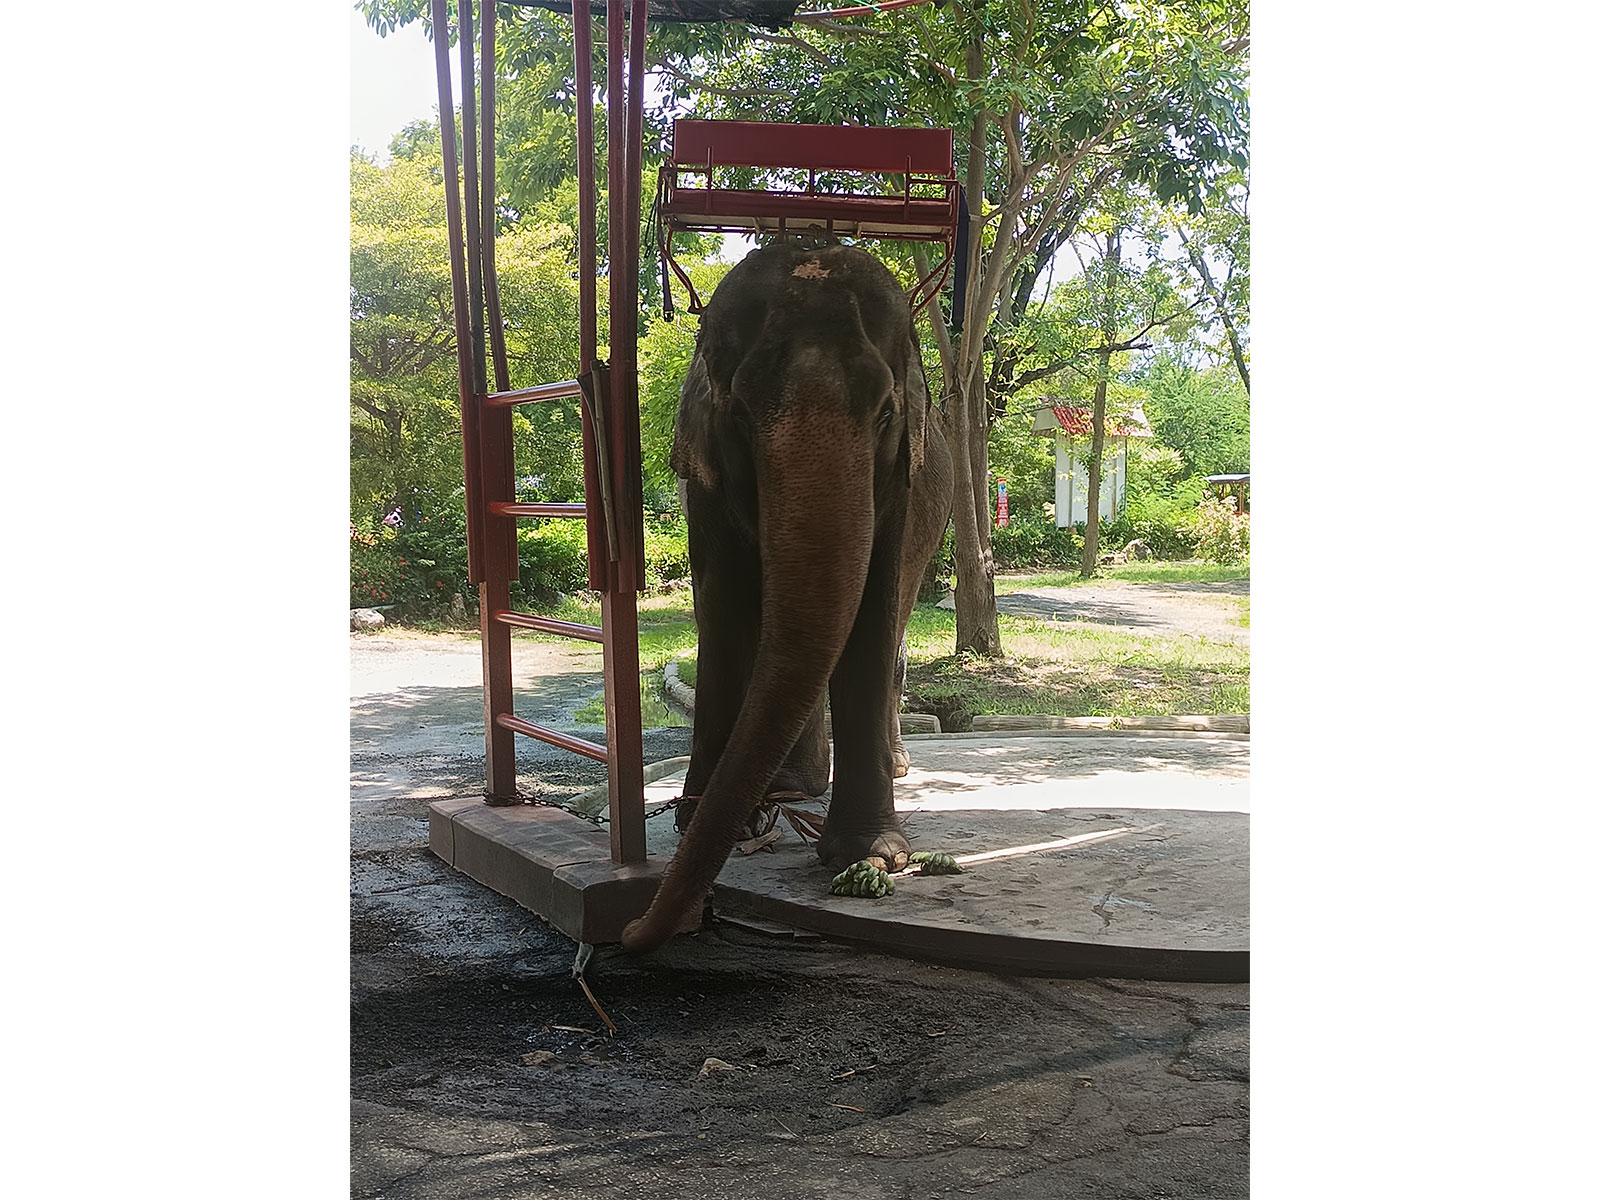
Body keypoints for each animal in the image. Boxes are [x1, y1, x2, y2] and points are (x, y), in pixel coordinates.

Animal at [620, 243, 954, 953]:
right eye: (741, 414)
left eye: (886, 412)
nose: (635, 929)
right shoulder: (704, 482)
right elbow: (723, 609)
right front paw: (698, 821)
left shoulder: (901, 488)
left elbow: (872, 610)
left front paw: (872, 855)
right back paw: (792, 789)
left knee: (896, 622)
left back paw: (886, 768)